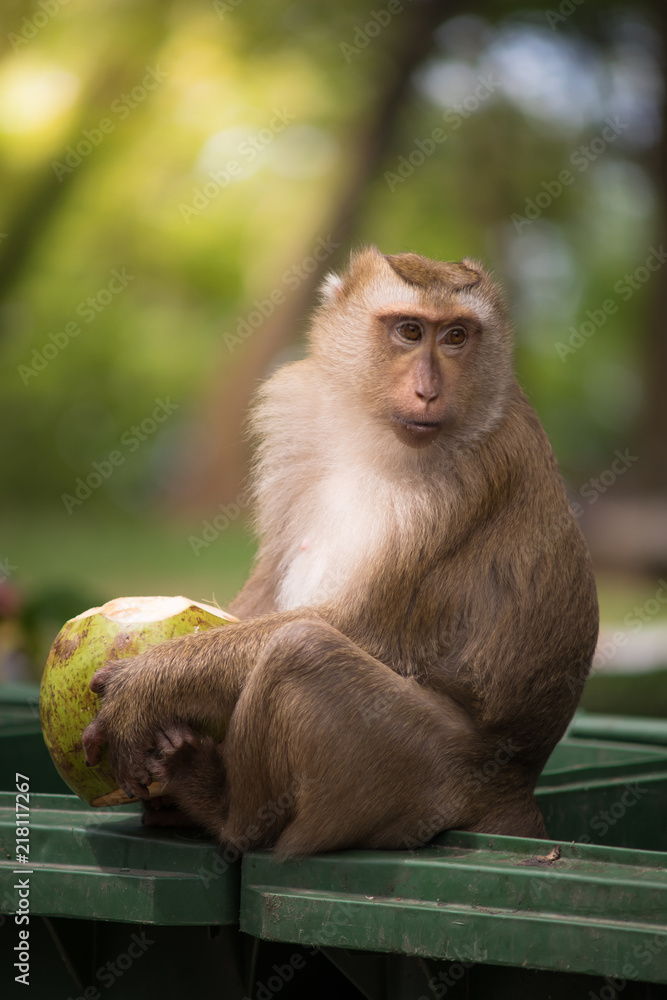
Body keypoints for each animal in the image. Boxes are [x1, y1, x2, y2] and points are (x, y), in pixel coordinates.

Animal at [82, 247, 599, 856]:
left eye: (456, 336)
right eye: (409, 330)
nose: (429, 392)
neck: (370, 435)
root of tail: (516, 783)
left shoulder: (470, 475)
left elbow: (358, 625)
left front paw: (149, 684)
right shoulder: (298, 412)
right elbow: (270, 582)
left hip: (428, 772)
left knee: (300, 651)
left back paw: (217, 806)